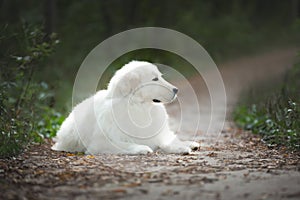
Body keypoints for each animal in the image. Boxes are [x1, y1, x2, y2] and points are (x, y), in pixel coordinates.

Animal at [52, 61, 199, 155]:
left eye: (160, 77)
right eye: (155, 79)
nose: (176, 90)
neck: (138, 107)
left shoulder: (157, 135)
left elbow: (166, 142)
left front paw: (180, 148)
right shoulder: (101, 142)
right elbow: (126, 144)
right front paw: (141, 148)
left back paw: (190, 144)